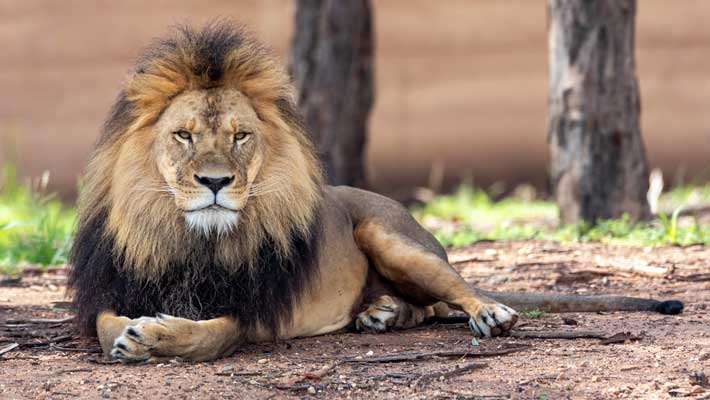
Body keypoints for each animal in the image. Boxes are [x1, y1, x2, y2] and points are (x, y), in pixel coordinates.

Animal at [68, 22, 683, 363]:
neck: (194, 240)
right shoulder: (113, 288)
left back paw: (484, 313)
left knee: (455, 291)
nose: (215, 182)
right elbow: (104, 326)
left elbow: (209, 337)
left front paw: (155, 338)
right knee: (427, 308)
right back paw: (383, 314)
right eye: (185, 135)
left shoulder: (254, 312)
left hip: (389, 235)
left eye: (241, 136)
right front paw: (132, 333)